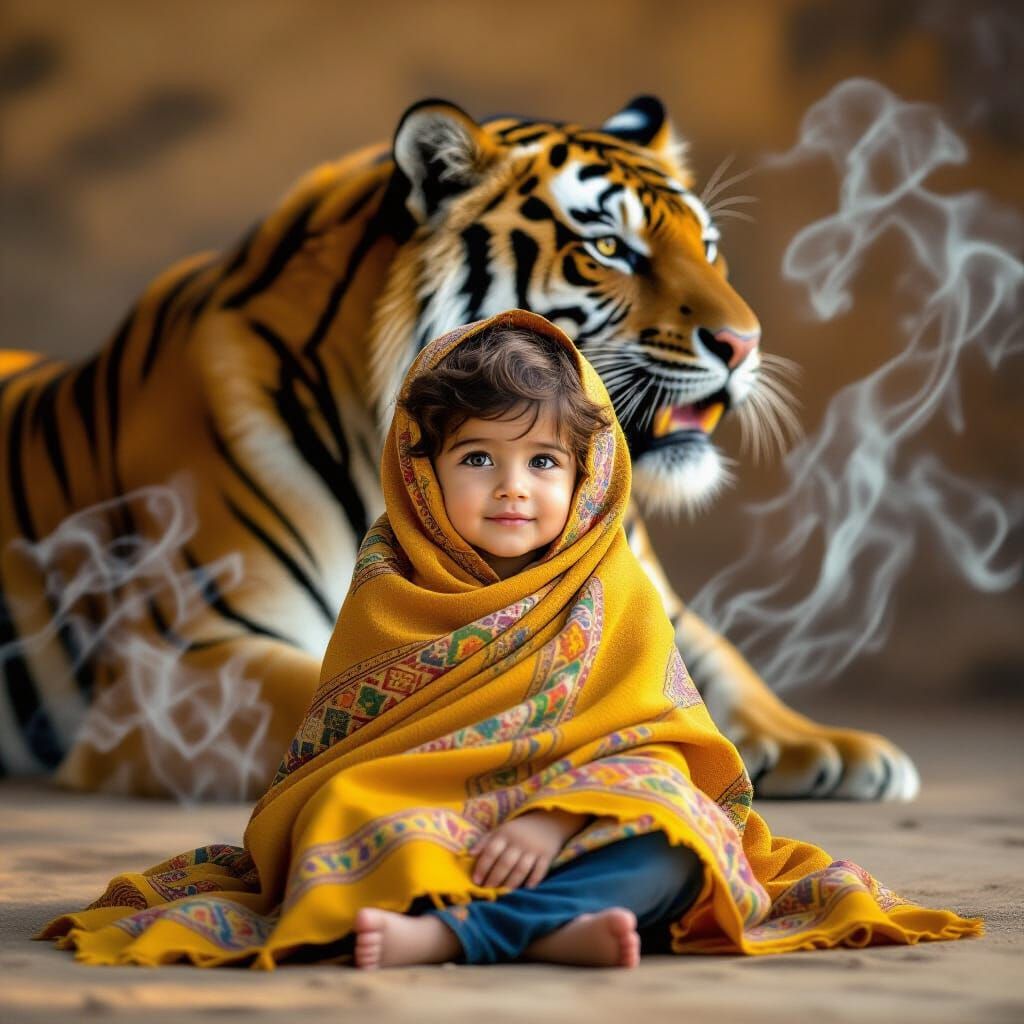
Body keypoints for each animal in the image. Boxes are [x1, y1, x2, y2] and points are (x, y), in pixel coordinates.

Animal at [0, 95, 919, 801]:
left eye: (711, 248)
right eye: (608, 248)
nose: (745, 343)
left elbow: (720, 665)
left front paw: (833, 746)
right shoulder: (180, 664)